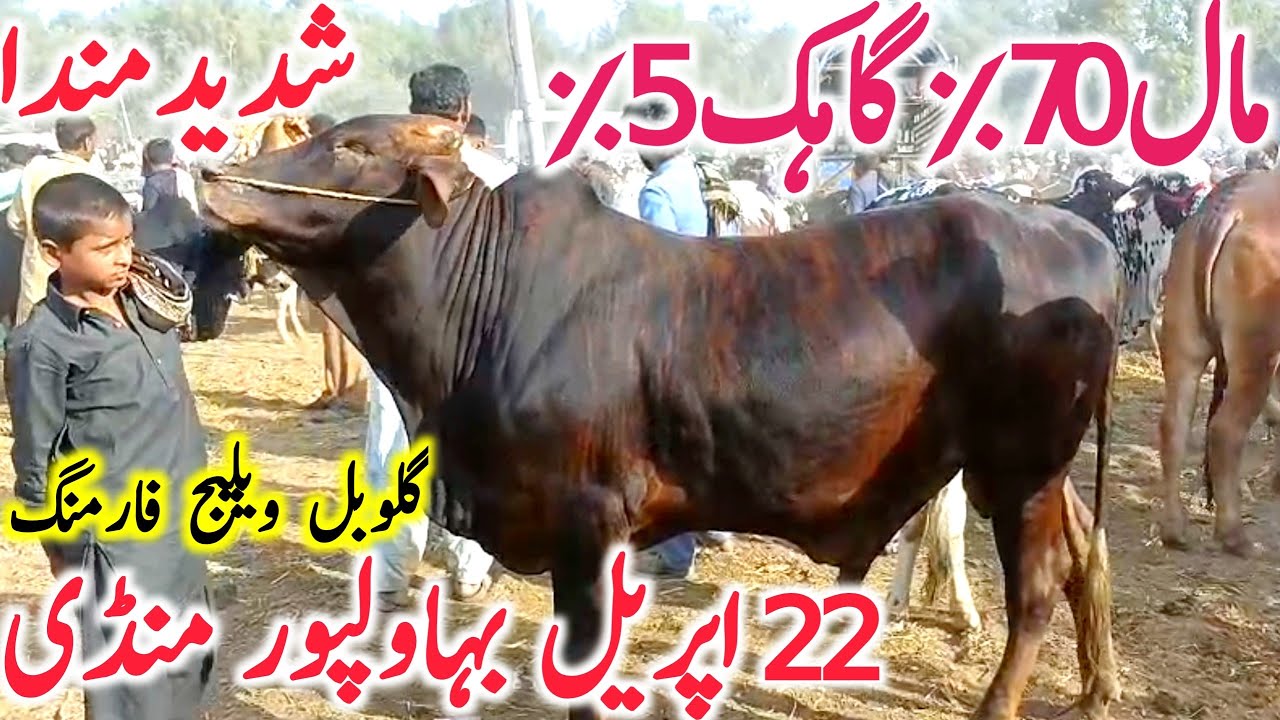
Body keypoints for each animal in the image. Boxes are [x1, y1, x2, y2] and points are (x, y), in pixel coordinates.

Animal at [197, 113, 1122, 720]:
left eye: (354, 148)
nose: (212, 175)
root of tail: (1075, 231)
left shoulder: (587, 518)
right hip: (1033, 468)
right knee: (1085, 547)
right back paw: (1098, 683)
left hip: (1020, 466)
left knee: (1038, 586)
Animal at [1157, 170, 1280, 558]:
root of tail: (1231, 203)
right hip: (1256, 354)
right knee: (1226, 430)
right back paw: (1234, 535)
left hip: (1184, 341)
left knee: (1173, 425)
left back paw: (1174, 529)